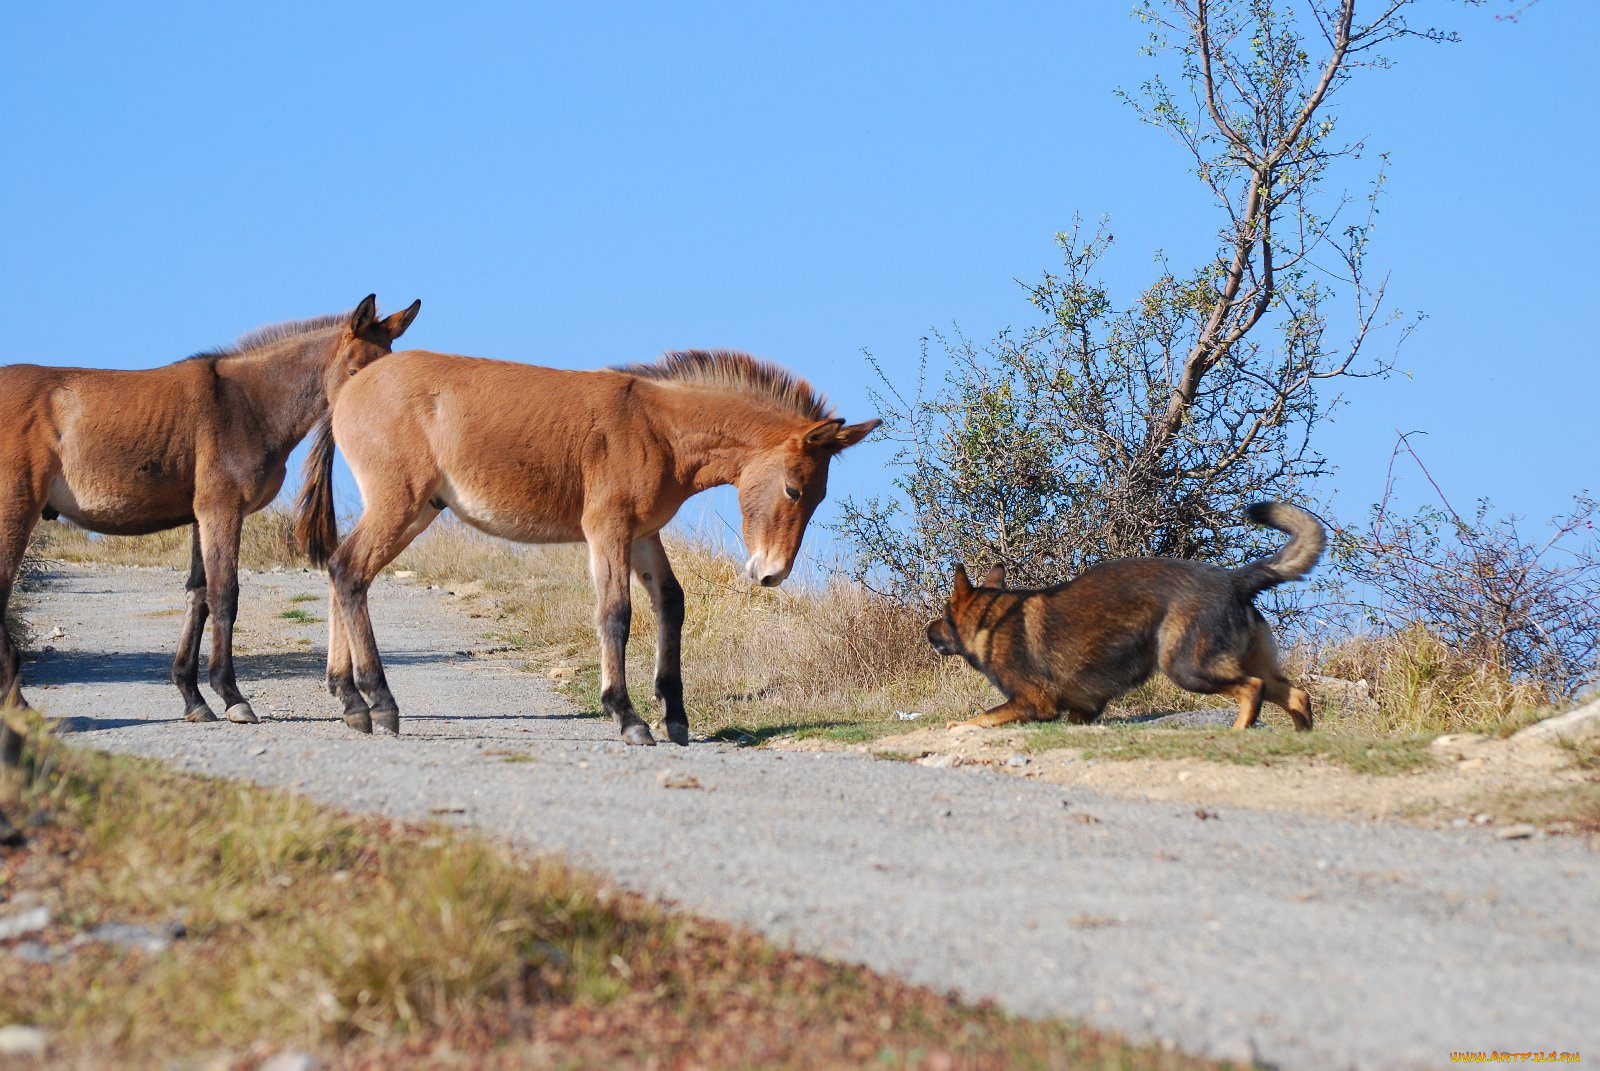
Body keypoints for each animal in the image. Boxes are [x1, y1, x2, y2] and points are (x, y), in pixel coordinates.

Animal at [0, 296, 419, 749]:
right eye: (355, 371)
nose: (382, 428)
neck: (247, 403)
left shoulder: (202, 518)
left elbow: (197, 597)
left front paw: (194, 697)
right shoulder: (222, 511)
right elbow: (224, 596)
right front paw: (233, 696)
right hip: (14, 512)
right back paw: (18, 705)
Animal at [294, 348, 883, 742]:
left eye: (819, 496)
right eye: (794, 489)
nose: (771, 573)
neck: (656, 429)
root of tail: (346, 391)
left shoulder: (643, 534)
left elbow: (671, 604)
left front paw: (675, 716)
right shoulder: (607, 529)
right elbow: (615, 614)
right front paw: (627, 716)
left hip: (415, 511)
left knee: (344, 573)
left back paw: (351, 701)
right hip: (400, 504)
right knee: (349, 571)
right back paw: (381, 703)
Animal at [928, 502, 1324, 736]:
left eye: (944, 616)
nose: (927, 630)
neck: (992, 618)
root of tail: (1234, 579)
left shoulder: (1032, 701)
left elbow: (984, 716)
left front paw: (960, 724)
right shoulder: (1083, 709)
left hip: (1187, 667)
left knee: (1253, 688)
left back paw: (1239, 732)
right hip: (1248, 665)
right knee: (1296, 695)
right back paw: (1302, 737)